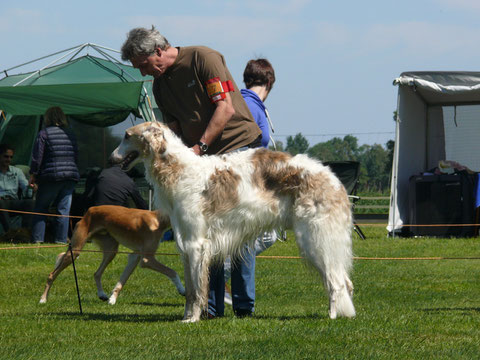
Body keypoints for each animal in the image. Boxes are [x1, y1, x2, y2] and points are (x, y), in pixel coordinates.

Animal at [38, 205, 185, 304]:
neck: (158, 220)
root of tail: (90, 210)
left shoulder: (135, 256)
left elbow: (121, 281)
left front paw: (112, 299)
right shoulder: (147, 259)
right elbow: (172, 272)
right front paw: (182, 289)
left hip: (111, 250)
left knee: (97, 273)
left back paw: (102, 294)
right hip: (75, 251)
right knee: (52, 274)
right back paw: (43, 299)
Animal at [110, 122, 354, 322]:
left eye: (126, 135)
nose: (111, 158)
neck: (179, 170)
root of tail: (334, 180)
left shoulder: (197, 244)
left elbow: (197, 291)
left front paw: (193, 319)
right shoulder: (184, 244)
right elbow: (189, 291)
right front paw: (186, 317)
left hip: (315, 240)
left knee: (336, 282)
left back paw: (332, 316)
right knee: (346, 282)